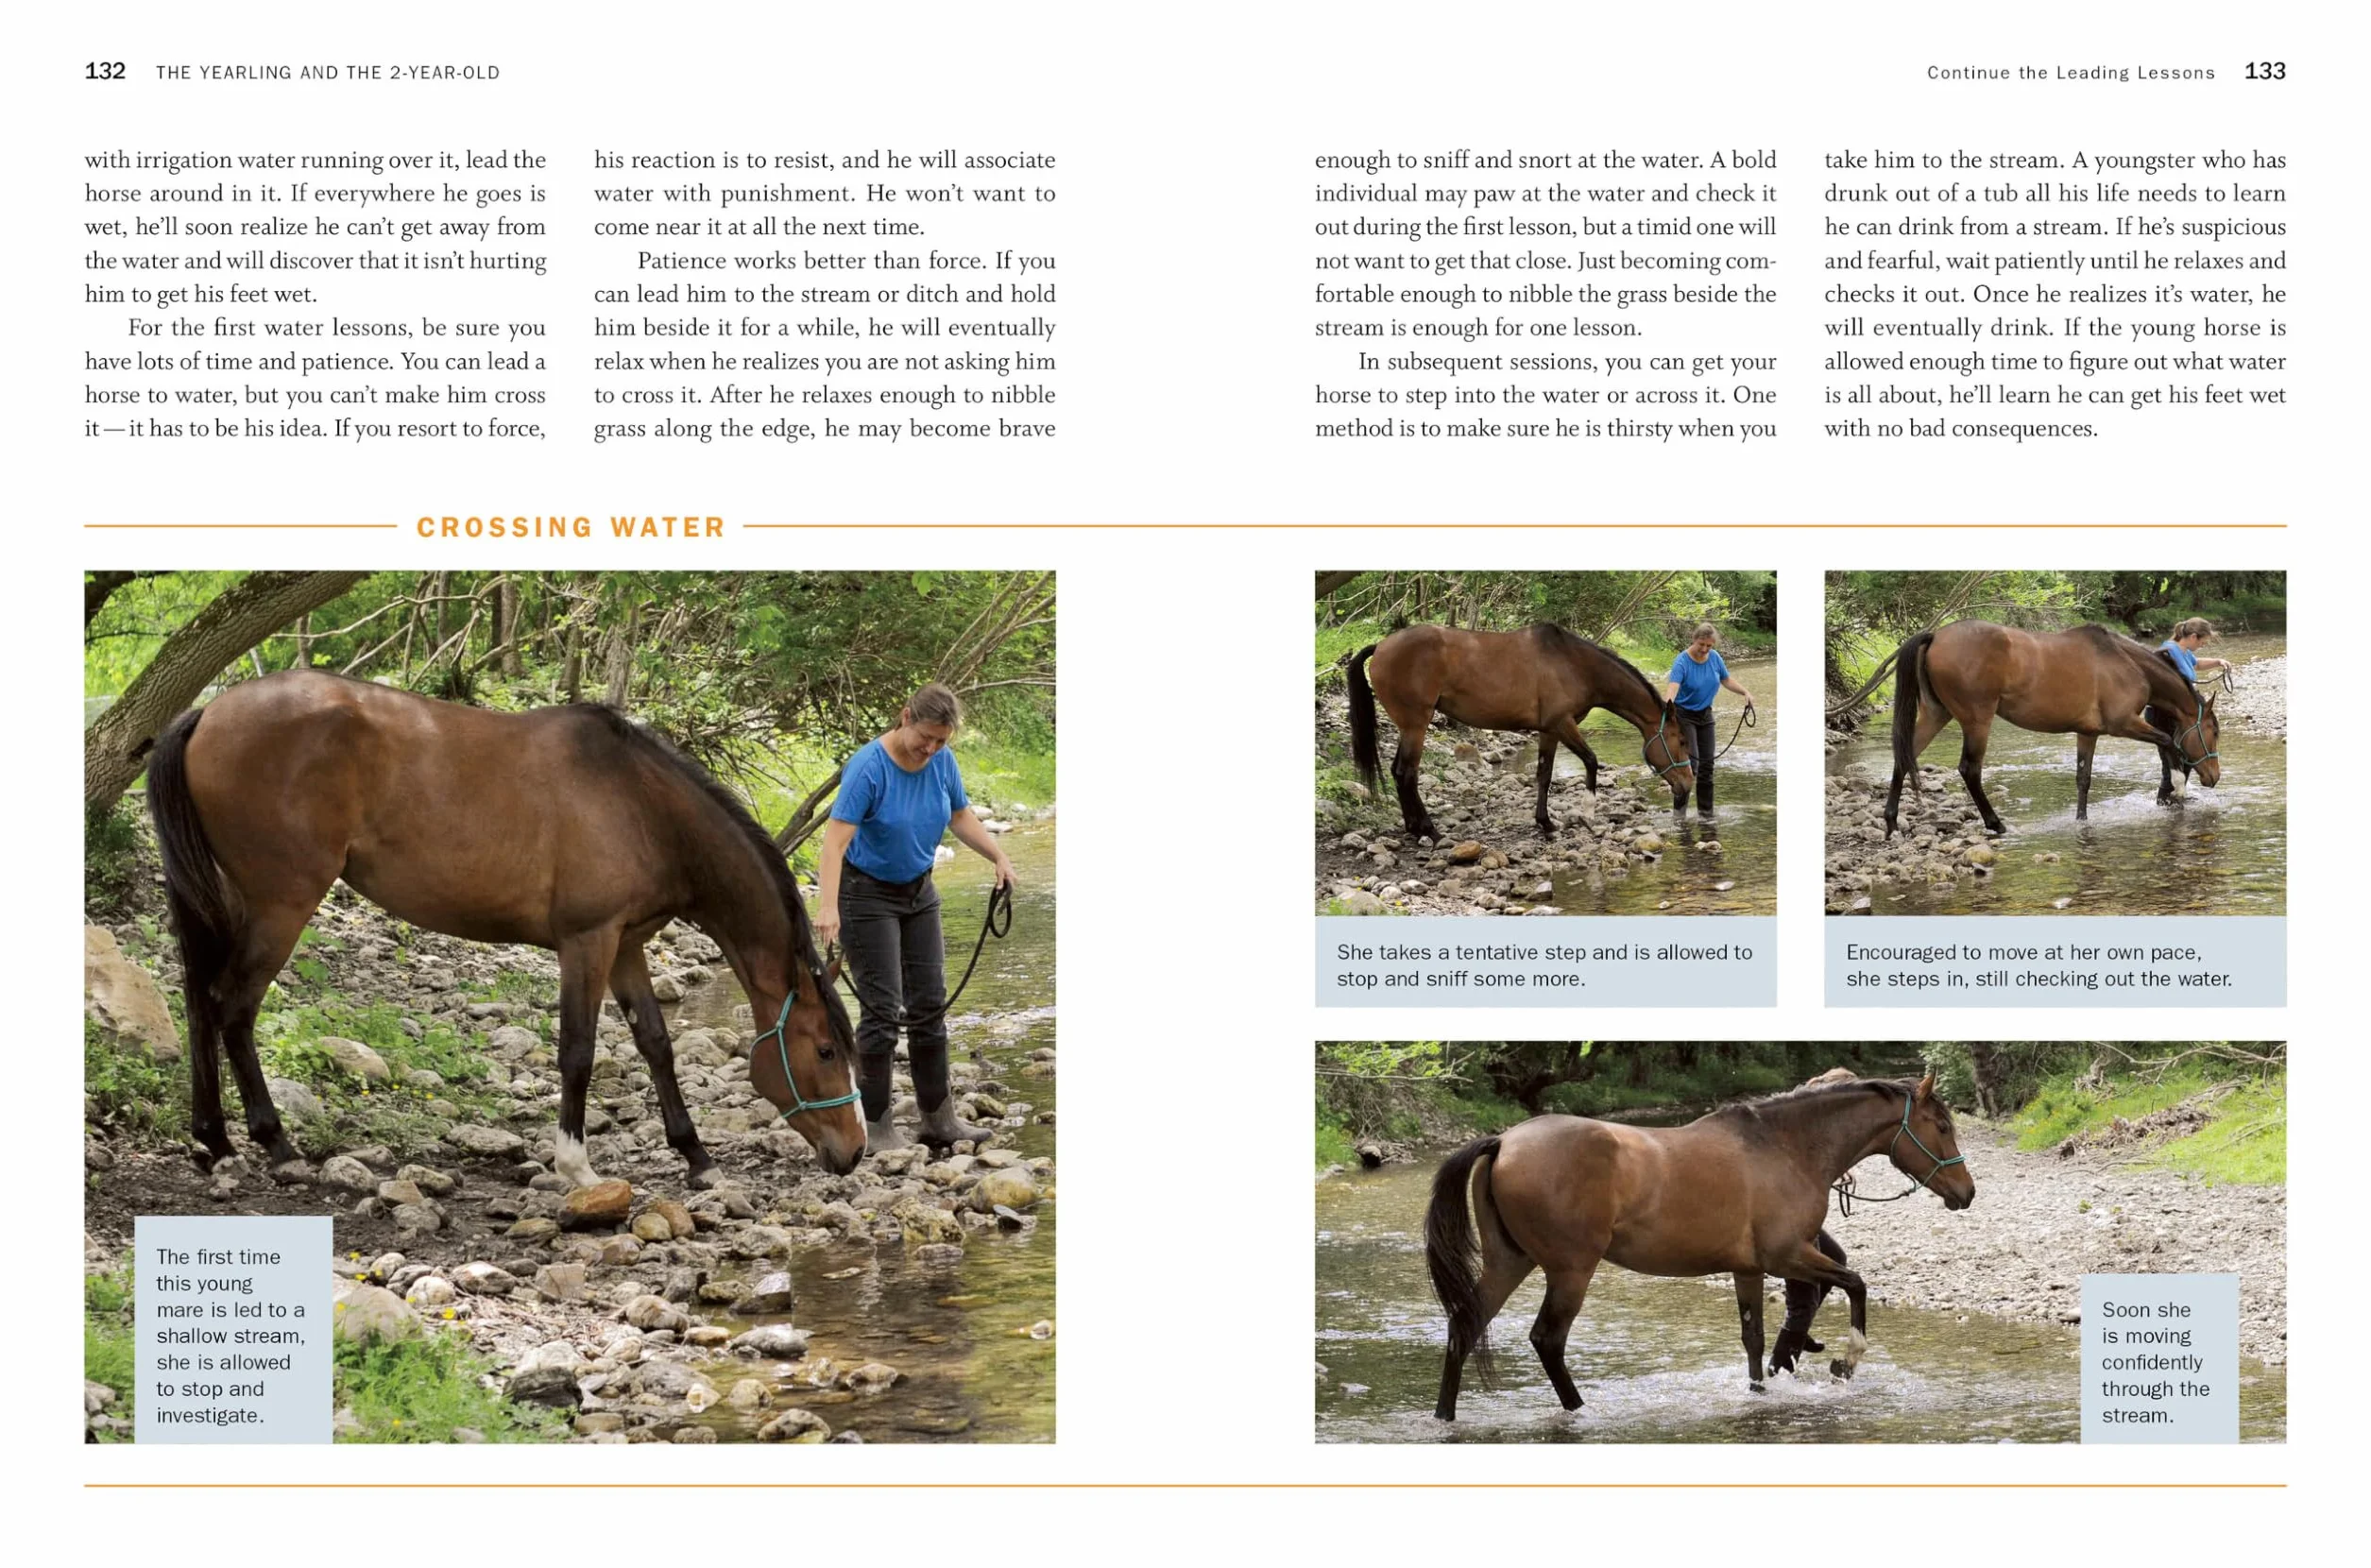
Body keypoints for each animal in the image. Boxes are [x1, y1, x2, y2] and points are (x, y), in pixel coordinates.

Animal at [142, 669, 866, 1189]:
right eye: (827, 1050)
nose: (855, 1152)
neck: (641, 806)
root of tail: (208, 713)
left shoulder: (626, 944)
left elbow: (656, 1044)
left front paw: (696, 1157)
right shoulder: (587, 942)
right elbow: (578, 1051)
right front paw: (577, 1166)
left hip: (228, 901)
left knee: (201, 1002)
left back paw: (214, 1141)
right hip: (281, 904)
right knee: (232, 1007)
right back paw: (275, 1144)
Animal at [1345, 622, 1696, 841]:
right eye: (1680, 740)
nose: (1687, 785)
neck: (1574, 664)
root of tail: (1381, 646)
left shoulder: (1549, 730)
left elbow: (1544, 774)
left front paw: (1545, 823)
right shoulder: (1562, 723)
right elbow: (1592, 762)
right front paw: (1587, 813)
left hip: (1409, 727)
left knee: (1398, 771)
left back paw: (1413, 827)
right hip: (1416, 726)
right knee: (1407, 773)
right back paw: (1429, 830)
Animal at [1423, 1072, 1973, 1421]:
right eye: (1943, 1126)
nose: (1966, 1193)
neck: (1786, 1148)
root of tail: (1504, 1141)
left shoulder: (1749, 1269)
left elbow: (1754, 1339)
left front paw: (1759, 1393)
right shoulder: (1788, 1255)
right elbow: (1856, 1284)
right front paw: (1846, 1363)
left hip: (1510, 1262)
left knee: (1465, 1325)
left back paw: (1445, 1416)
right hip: (1570, 1271)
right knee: (1547, 1340)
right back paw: (1578, 1410)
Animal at [1856, 620, 2218, 837]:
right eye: (2213, 731)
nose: (2214, 777)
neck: (2126, 663)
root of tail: (1937, 636)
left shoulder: (2088, 732)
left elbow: (2083, 779)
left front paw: (2081, 821)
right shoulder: (2124, 724)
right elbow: (2168, 743)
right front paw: (2178, 787)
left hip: (1936, 714)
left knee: (1904, 756)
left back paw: (1890, 821)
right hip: (1977, 720)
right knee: (1969, 769)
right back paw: (1996, 824)